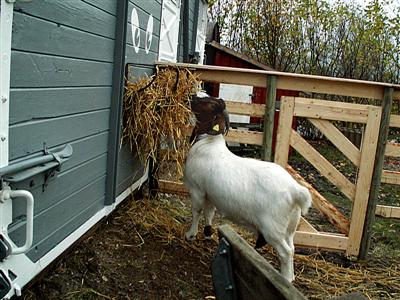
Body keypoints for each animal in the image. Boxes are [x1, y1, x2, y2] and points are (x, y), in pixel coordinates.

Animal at [184, 93, 312, 282]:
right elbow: (209, 213)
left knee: (286, 252)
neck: (208, 143)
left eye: (208, 102)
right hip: (289, 227)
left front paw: (190, 235)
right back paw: (291, 276)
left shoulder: (197, 189)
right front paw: (207, 233)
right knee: (293, 247)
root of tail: (295, 191)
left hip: (272, 228)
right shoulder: (210, 193)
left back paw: (285, 279)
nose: (192, 95)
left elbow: (197, 212)